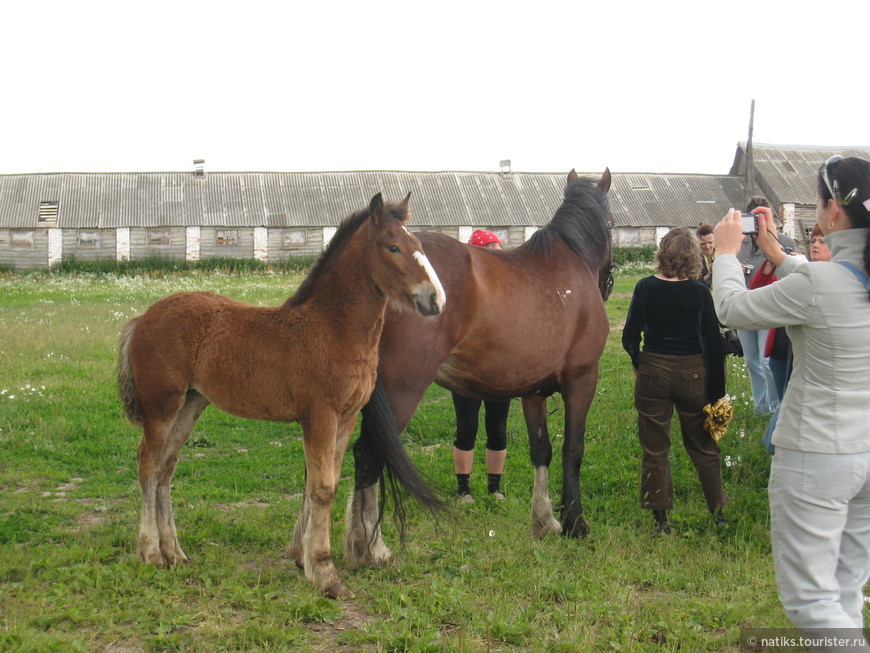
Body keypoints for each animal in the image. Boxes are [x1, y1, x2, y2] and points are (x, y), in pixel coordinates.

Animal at [119, 191, 446, 600]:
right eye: (393, 247)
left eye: (419, 245)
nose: (435, 300)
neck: (332, 327)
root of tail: (143, 316)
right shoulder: (320, 415)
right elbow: (322, 487)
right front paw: (326, 573)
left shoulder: (347, 417)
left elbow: (325, 482)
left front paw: (306, 561)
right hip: (161, 405)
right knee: (148, 463)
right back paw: (150, 553)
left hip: (191, 403)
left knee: (166, 467)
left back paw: (174, 552)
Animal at [344, 168, 616, 564]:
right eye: (612, 223)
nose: (608, 284)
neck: (569, 268)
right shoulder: (583, 380)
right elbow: (573, 449)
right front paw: (575, 522)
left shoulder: (533, 391)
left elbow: (541, 450)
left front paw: (544, 520)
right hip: (401, 389)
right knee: (369, 454)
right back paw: (370, 547)